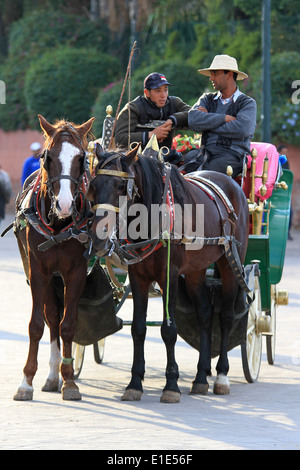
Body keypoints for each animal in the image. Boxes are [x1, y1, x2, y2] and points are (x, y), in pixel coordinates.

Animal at [13, 114, 94, 400]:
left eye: (81, 157)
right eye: (47, 157)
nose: (65, 204)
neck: (59, 224)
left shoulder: (77, 272)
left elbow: (68, 324)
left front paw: (69, 381)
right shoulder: (39, 271)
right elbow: (38, 324)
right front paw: (27, 381)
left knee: (59, 321)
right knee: (51, 317)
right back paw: (50, 375)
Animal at [88, 146, 250, 404]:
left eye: (121, 186)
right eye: (93, 185)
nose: (98, 237)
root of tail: (230, 182)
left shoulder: (169, 276)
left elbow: (168, 330)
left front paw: (171, 385)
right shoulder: (138, 276)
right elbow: (138, 329)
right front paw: (135, 383)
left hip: (230, 263)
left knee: (226, 316)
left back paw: (221, 376)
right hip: (195, 270)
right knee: (205, 314)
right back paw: (201, 377)